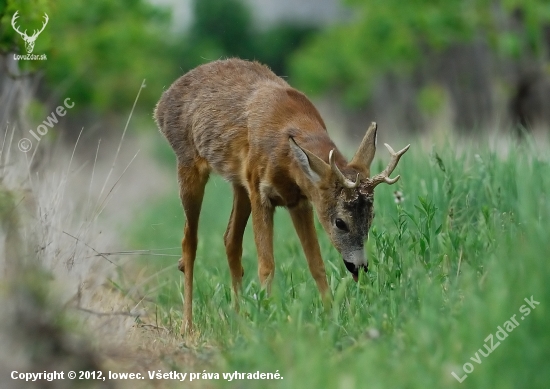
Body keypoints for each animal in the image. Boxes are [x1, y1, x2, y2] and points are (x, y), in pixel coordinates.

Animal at [154, 59, 410, 332]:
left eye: (371, 217)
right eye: (340, 222)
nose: (359, 268)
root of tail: (161, 105)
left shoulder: (299, 200)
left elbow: (316, 263)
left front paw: (332, 316)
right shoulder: (260, 191)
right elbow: (267, 266)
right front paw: (270, 318)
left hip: (239, 183)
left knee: (230, 240)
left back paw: (238, 317)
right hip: (189, 164)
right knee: (189, 242)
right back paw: (188, 325)